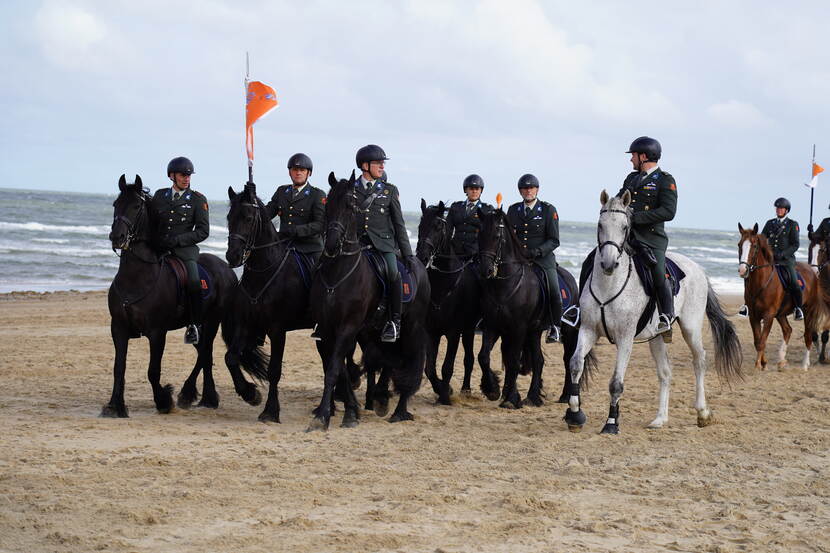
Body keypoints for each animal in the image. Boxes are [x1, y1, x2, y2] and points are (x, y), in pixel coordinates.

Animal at [104, 175, 266, 416]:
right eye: (116, 204)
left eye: (136, 206)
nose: (117, 236)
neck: (137, 277)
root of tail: (226, 268)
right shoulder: (119, 328)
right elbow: (119, 367)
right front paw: (115, 406)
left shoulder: (157, 332)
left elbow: (153, 371)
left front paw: (163, 400)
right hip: (197, 324)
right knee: (205, 355)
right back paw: (207, 398)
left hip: (211, 320)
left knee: (206, 352)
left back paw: (196, 395)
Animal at [308, 170, 432, 430]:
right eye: (327, 204)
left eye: (350, 205)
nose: (331, 245)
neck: (338, 274)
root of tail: (417, 264)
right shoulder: (329, 328)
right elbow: (341, 370)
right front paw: (350, 411)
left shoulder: (348, 326)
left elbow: (334, 369)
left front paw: (323, 415)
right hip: (374, 330)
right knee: (388, 360)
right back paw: (380, 399)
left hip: (412, 326)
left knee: (410, 361)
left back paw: (399, 410)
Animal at [416, 198, 500, 402]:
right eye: (420, 225)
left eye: (438, 226)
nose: (422, 256)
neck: (443, 284)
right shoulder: (432, 332)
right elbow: (429, 368)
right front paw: (443, 389)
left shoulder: (453, 332)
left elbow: (447, 366)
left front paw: (445, 396)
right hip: (468, 330)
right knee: (469, 358)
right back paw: (466, 388)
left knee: (474, 358)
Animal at [474, 209, 592, 408]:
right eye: (479, 235)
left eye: (497, 236)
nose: (485, 270)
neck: (505, 285)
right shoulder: (493, 325)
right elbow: (484, 356)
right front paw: (493, 390)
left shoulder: (518, 328)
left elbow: (513, 361)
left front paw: (510, 399)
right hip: (534, 331)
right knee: (539, 361)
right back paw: (533, 396)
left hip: (568, 331)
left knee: (568, 359)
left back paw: (566, 396)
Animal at [568, 189, 744, 432]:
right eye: (600, 225)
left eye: (625, 227)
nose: (609, 264)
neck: (608, 286)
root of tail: (698, 268)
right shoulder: (588, 330)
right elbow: (576, 365)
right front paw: (575, 415)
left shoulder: (625, 338)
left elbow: (616, 382)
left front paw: (611, 423)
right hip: (657, 337)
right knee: (665, 372)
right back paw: (660, 418)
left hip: (691, 328)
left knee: (700, 359)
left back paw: (702, 413)